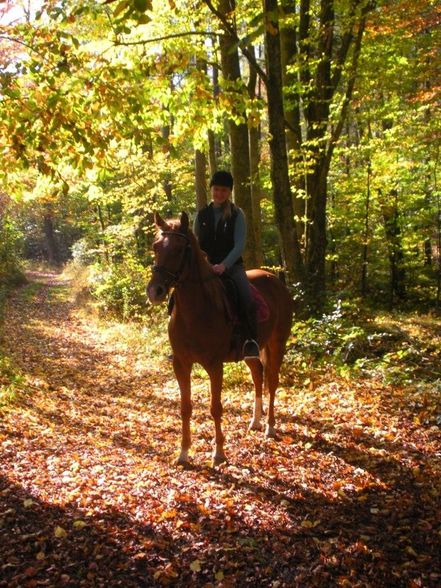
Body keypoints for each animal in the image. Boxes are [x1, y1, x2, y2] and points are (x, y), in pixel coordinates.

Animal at [146, 210, 294, 464]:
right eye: (156, 246)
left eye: (179, 249)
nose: (154, 291)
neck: (196, 311)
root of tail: (275, 279)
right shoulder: (181, 364)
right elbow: (185, 407)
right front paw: (183, 453)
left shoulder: (215, 365)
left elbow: (215, 408)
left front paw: (219, 453)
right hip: (251, 351)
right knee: (258, 376)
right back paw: (255, 422)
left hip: (277, 344)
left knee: (272, 381)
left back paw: (269, 427)